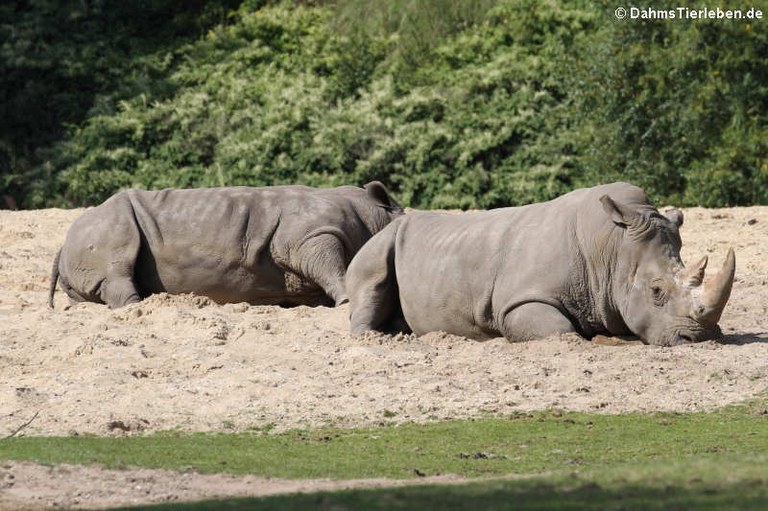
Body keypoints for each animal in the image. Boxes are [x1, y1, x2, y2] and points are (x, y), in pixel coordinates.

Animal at [344, 182, 736, 346]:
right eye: (655, 291)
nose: (698, 338)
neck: (611, 248)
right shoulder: (519, 301)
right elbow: (560, 332)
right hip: (381, 241)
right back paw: (379, 338)